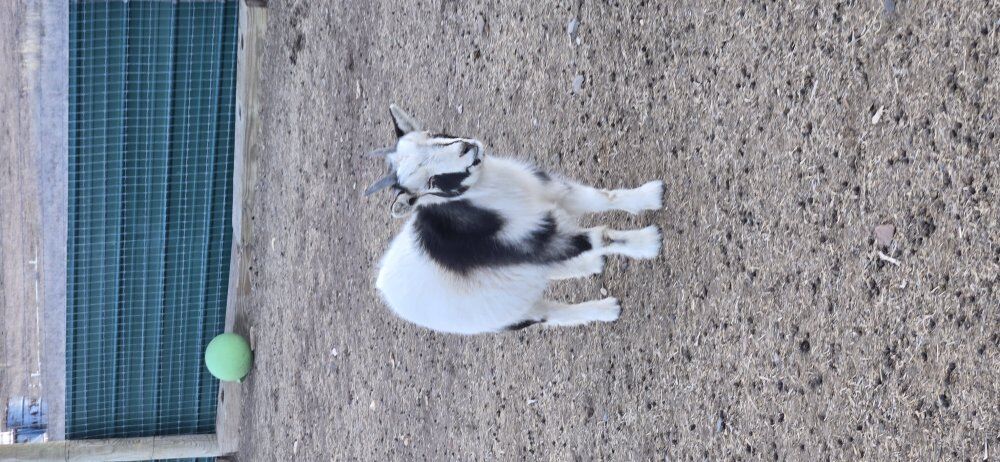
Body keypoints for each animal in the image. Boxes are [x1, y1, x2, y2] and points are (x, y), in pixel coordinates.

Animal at [365, 105, 663, 335]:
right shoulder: (529, 240)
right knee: (550, 314)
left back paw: (590, 265)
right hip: (510, 315)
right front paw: (649, 242)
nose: (467, 148)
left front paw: (651, 195)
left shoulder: (549, 196)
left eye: (431, 136)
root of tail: (383, 284)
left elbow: (602, 198)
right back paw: (607, 309)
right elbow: (599, 236)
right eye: (430, 182)